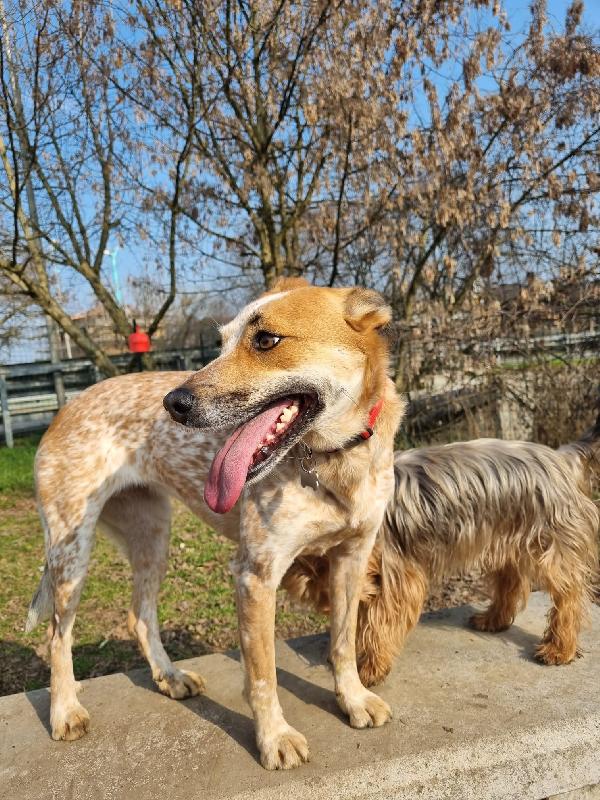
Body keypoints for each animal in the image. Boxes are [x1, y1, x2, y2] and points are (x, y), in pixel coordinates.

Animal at [27, 280, 404, 768]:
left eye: (266, 340)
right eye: (222, 342)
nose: (174, 404)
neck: (335, 461)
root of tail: (64, 408)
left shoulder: (352, 558)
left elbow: (342, 644)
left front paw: (353, 700)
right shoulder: (255, 575)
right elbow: (263, 674)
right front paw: (274, 737)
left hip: (153, 539)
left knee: (139, 616)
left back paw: (170, 677)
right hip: (71, 555)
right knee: (57, 635)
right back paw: (65, 711)